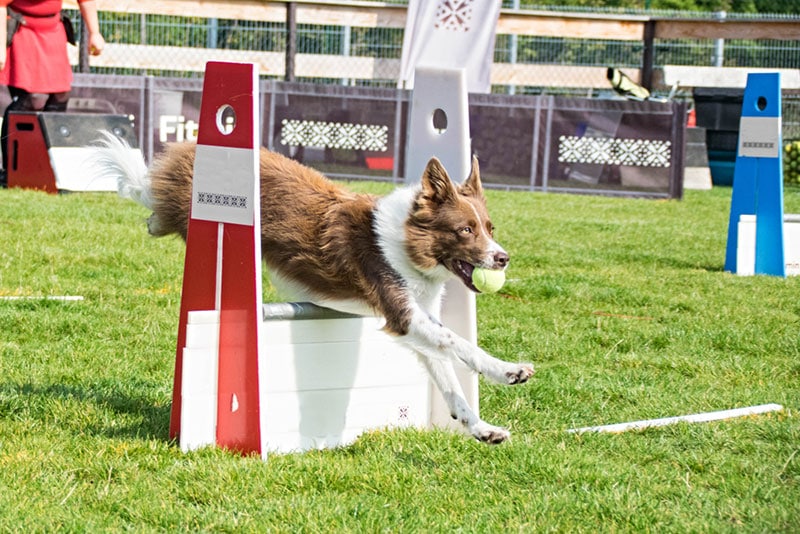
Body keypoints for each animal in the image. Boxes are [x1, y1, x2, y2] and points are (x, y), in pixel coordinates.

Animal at [97, 137, 536, 444]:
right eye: (465, 230)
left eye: (489, 227)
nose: (503, 258)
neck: (407, 243)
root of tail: (189, 146)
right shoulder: (402, 312)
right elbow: (460, 344)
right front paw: (508, 370)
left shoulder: (416, 321)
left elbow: (449, 379)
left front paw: (481, 428)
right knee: (153, 197)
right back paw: (149, 208)